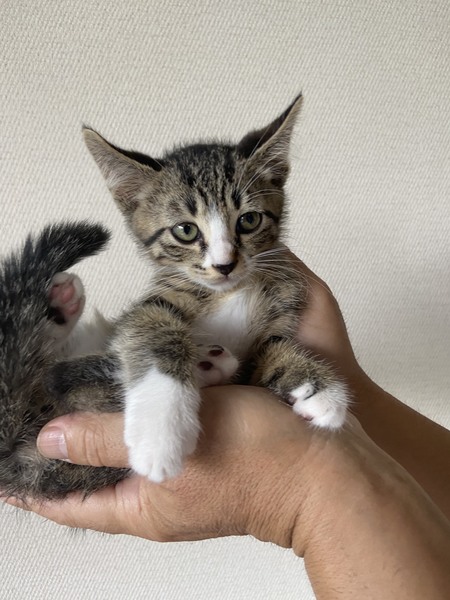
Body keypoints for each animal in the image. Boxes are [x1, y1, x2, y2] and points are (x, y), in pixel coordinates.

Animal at [0, 93, 348, 499]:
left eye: (248, 220)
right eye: (185, 231)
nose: (224, 264)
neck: (231, 290)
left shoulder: (282, 302)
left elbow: (273, 349)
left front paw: (315, 387)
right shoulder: (151, 305)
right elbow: (154, 334)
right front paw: (160, 437)